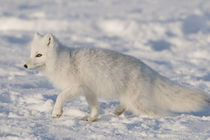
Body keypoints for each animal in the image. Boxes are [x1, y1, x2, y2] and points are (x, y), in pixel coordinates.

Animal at [23, 32, 209, 121]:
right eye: (31, 53)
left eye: (39, 55)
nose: (25, 65)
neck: (63, 60)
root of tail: (148, 69)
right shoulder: (90, 91)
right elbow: (94, 106)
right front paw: (92, 118)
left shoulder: (77, 87)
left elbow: (60, 96)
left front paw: (57, 113)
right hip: (130, 98)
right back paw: (118, 111)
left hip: (138, 103)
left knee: (160, 113)